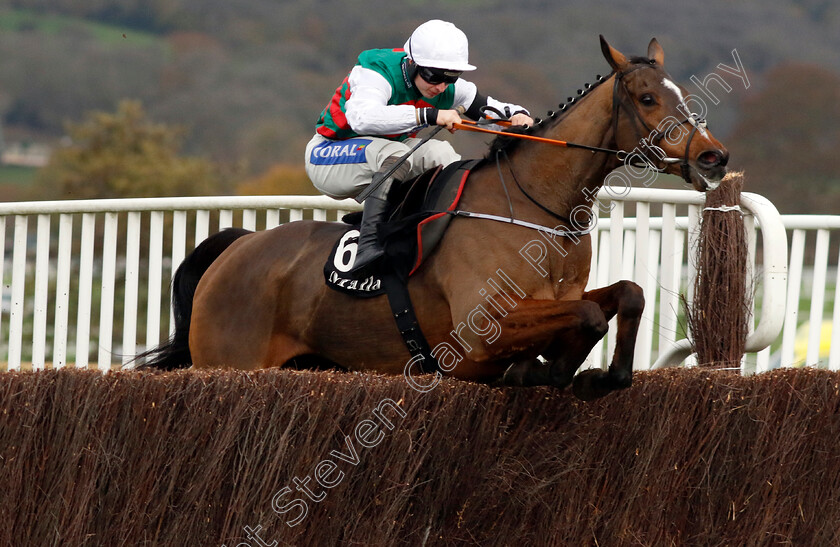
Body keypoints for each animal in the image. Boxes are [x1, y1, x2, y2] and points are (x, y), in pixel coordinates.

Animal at [139, 36, 728, 400]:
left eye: (679, 93)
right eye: (647, 98)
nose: (712, 156)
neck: (535, 210)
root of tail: (235, 249)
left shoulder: (558, 298)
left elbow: (627, 294)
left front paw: (602, 375)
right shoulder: (483, 331)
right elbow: (585, 318)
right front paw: (552, 369)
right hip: (229, 359)